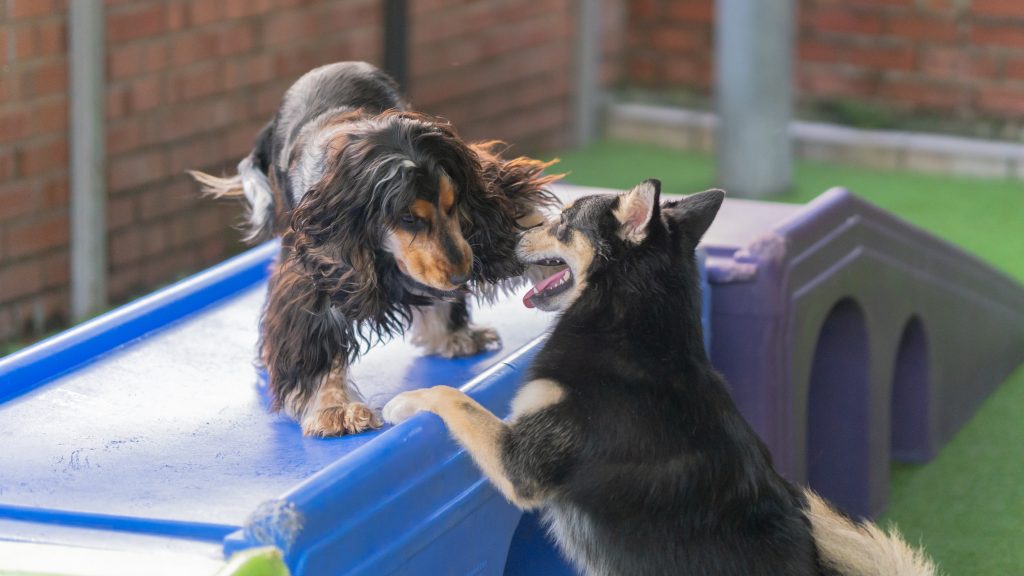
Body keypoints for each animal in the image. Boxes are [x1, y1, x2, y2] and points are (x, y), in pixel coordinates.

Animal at [192, 60, 561, 432]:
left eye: (454, 203)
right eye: (407, 217)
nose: (462, 277)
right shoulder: (320, 266)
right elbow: (318, 333)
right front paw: (334, 408)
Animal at [385, 180, 937, 573]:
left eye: (562, 222)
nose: (508, 235)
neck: (631, 325)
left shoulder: (521, 463)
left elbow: (454, 397)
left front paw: (403, 402)